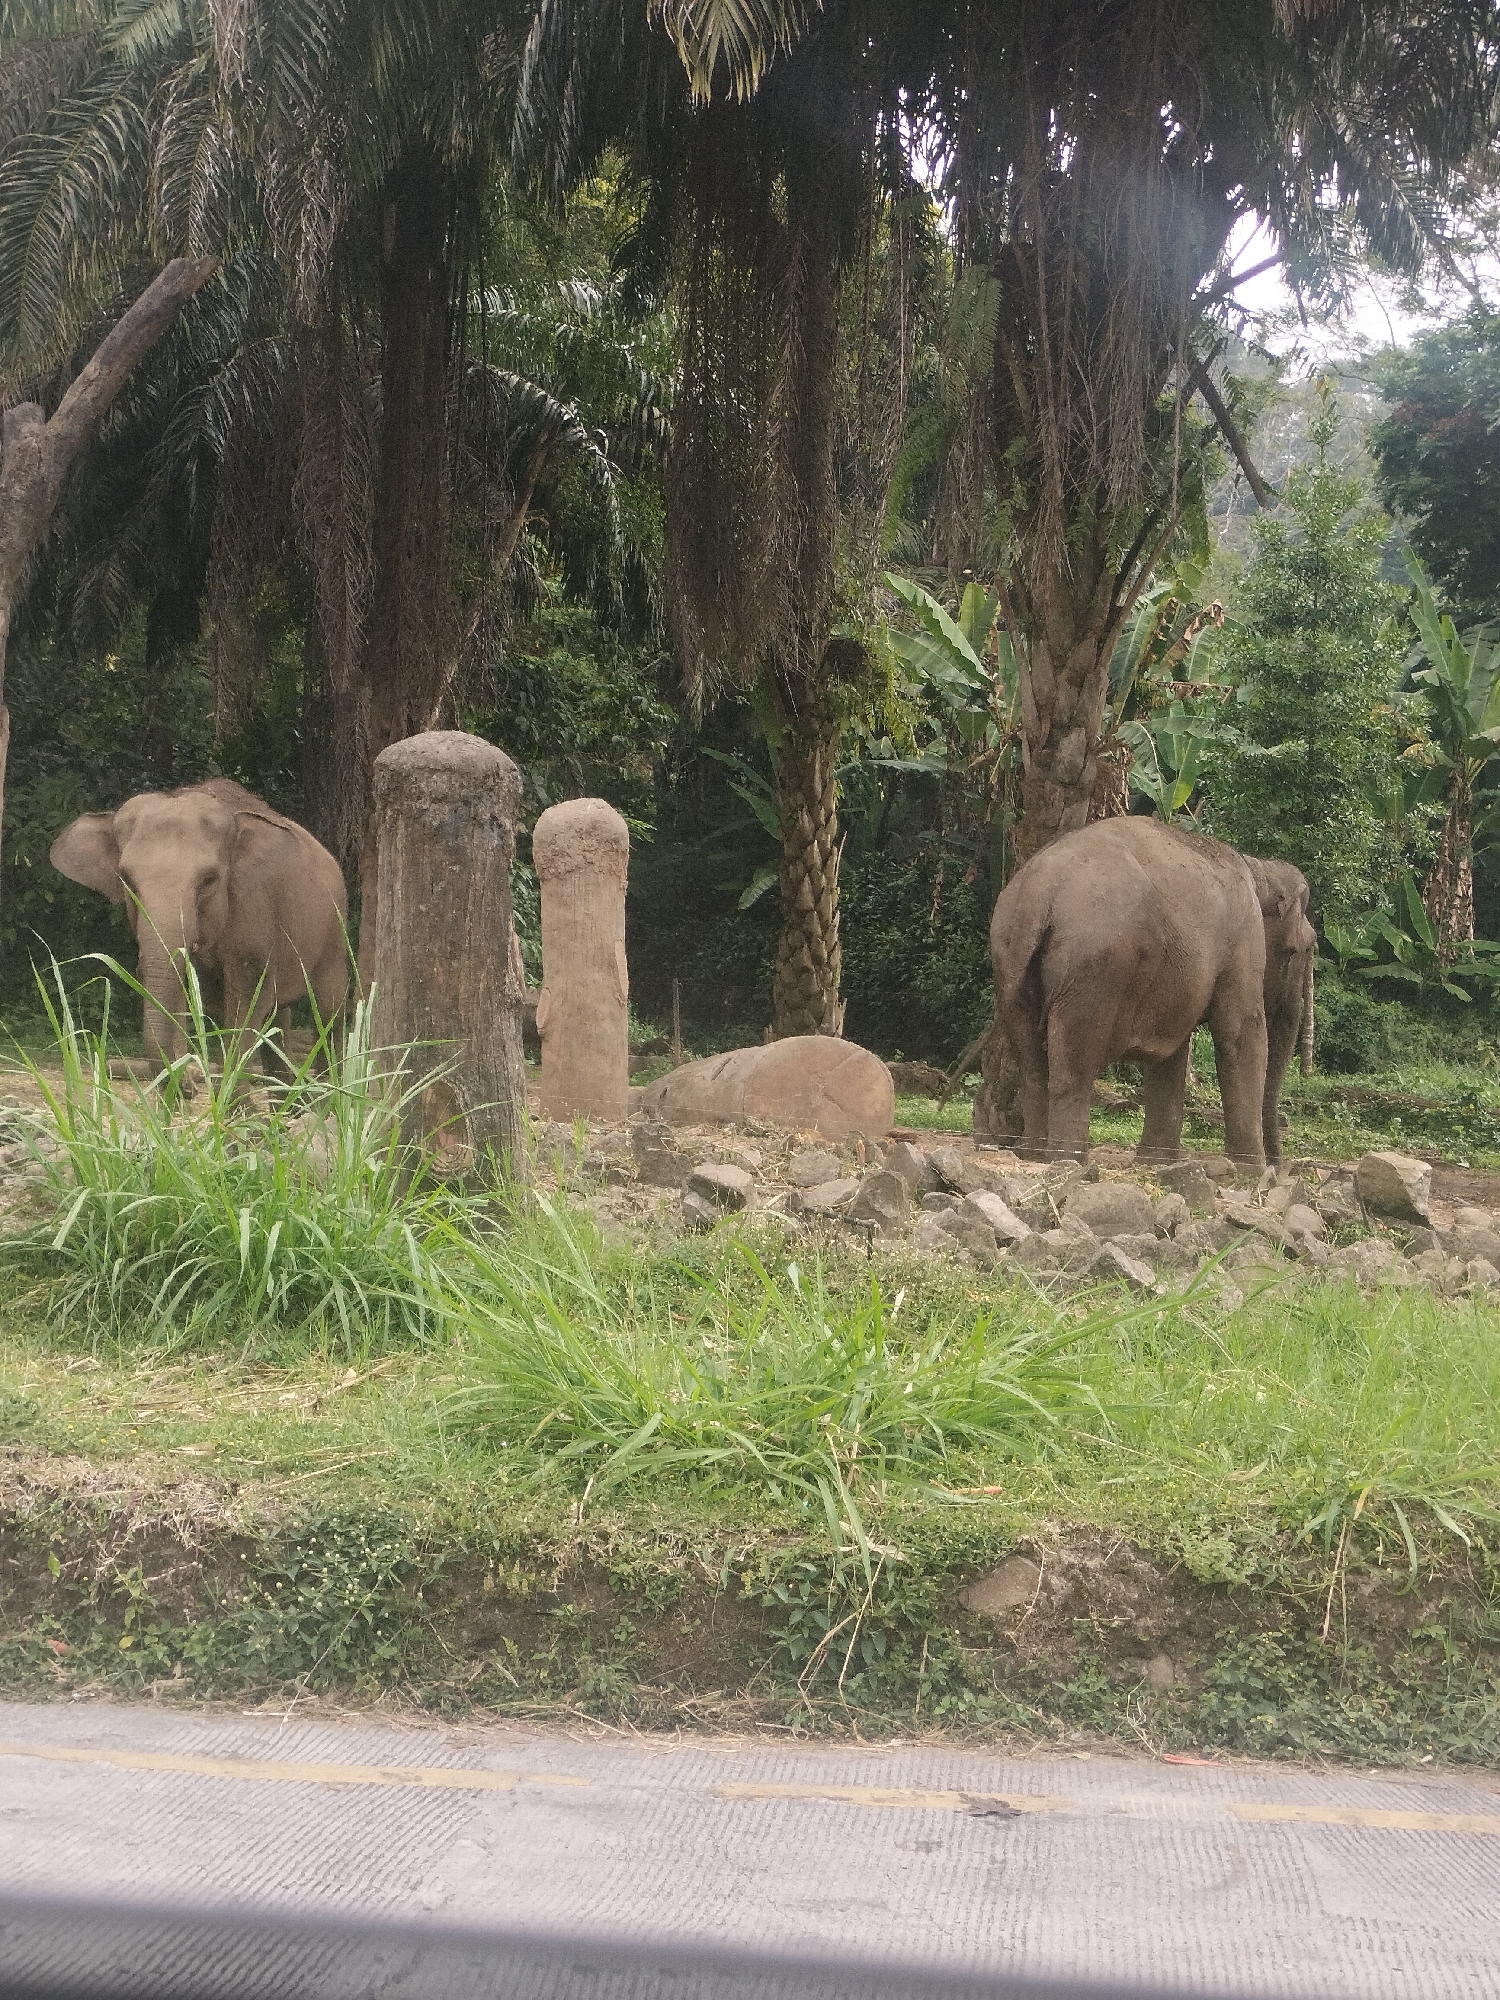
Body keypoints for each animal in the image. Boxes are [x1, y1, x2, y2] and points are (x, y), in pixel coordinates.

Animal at [50, 778, 348, 1066]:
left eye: (208, 880)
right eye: (128, 881)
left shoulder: (255, 908)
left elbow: (247, 1000)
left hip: (335, 932)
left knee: (327, 1011)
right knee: (277, 1019)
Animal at [986, 818, 1315, 1169]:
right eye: (1301, 949)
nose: (1280, 1165)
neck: (1257, 867)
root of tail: (1037, 895)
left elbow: (1172, 1055)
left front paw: (1155, 1162)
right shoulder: (1243, 935)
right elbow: (1240, 1032)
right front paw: (1250, 1170)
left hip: (1008, 963)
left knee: (1031, 1064)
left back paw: (1035, 1155)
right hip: (1093, 969)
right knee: (1073, 1066)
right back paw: (1070, 1161)